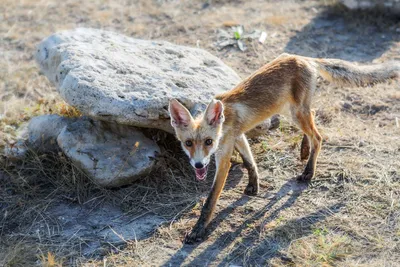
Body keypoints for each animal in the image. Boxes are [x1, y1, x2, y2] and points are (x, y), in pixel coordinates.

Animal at [167, 53, 398, 244]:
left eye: (208, 142)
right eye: (188, 143)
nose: (198, 165)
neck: (224, 123)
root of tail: (303, 57)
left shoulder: (223, 154)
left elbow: (210, 200)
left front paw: (198, 230)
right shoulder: (239, 136)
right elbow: (250, 162)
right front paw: (254, 185)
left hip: (295, 113)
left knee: (318, 137)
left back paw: (309, 171)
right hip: (291, 111)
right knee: (314, 115)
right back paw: (304, 149)